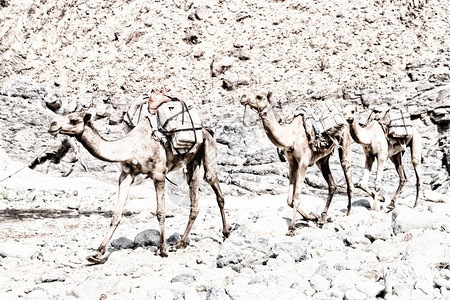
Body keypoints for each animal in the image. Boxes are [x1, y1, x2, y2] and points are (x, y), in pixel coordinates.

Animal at [49, 110, 230, 262]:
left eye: (74, 120)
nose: (52, 125)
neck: (131, 148)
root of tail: (206, 131)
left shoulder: (159, 174)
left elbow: (160, 212)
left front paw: (162, 250)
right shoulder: (126, 174)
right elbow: (116, 215)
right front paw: (97, 253)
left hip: (209, 150)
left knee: (216, 188)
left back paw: (226, 234)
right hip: (192, 162)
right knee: (194, 201)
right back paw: (179, 244)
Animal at [241, 90, 354, 236]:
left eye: (259, 96)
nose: (243, 97)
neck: (290, 137)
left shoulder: (303, 162)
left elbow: (296, 197)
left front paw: (291, 228)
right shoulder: (292, 163)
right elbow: (289, 199)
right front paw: (311, 216)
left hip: (345, 141)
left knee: (347, 172)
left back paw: (349, 213)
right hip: (322, 160)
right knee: (332, 185)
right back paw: (322, 218)